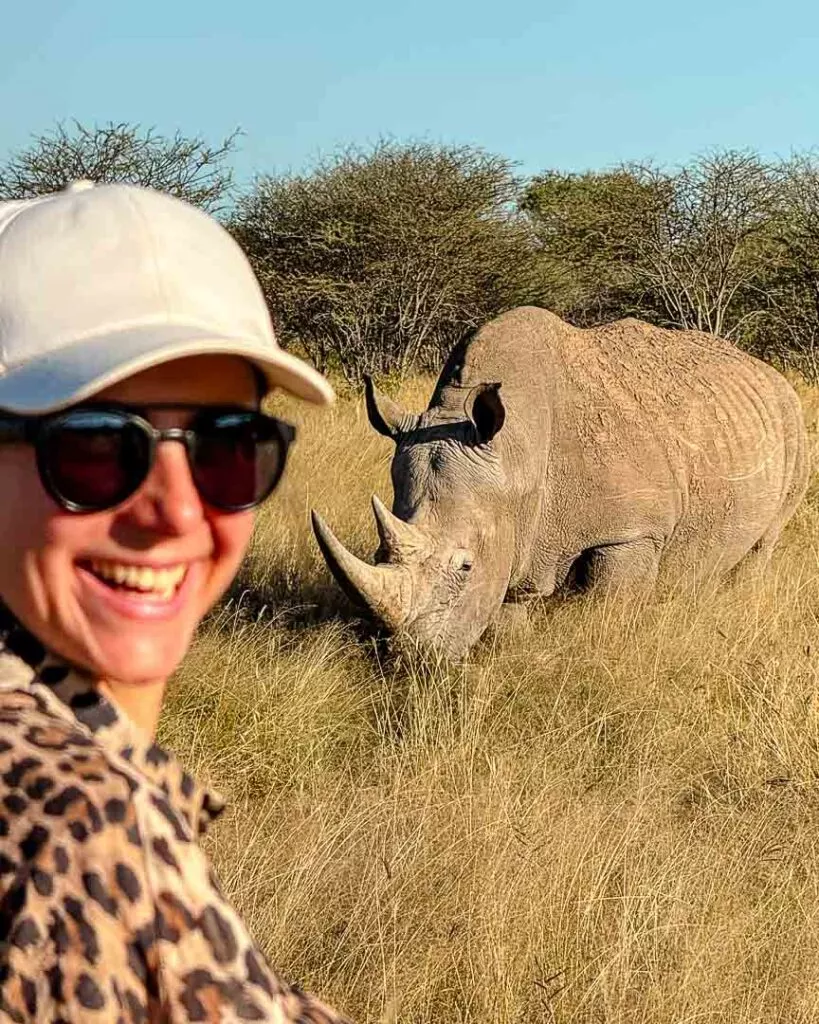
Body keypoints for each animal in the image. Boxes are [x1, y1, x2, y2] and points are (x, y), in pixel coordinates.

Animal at [311, 307, 810, 659]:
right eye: (379, 552)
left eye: (466, 566)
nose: (411, 658)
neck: (516, 454)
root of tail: (767, 371)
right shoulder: (515, 527)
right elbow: (507, 612)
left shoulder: (632, 531)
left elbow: (608, 608)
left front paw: (605, 651)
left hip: (793, 423)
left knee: (766, 540)